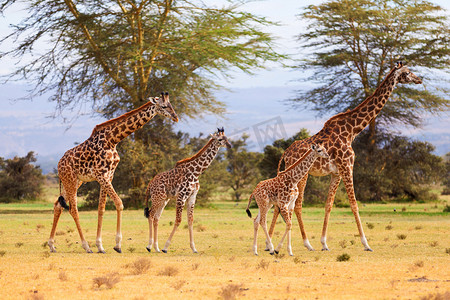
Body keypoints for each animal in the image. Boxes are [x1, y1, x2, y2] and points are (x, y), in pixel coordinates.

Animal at [47, 92, 178, 254]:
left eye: (172, 105)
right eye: (164, 106)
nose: (175, 117)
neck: (112, 140)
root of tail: (59, 164)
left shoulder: (108, 175)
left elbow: (101, 209)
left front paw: (100, 246)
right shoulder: (100, 175)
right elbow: (119, 203)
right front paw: (117, 245)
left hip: (75, 181)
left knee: (58, 205)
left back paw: (52, 245)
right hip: (70, 180)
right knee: (73, 209)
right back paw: (86, 246)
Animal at [268, 61, 422, 251]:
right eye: (407, 72)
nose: (419, 79)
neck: (352, 130)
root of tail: (286, 153)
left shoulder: (337, 172)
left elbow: (329, 205)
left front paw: (324, 243)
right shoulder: (347, 166)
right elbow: (354, 204)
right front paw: (366, 243)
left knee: (280, 205)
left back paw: (271, 242)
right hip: (301, 176)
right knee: (296, 205)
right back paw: (306, 243)